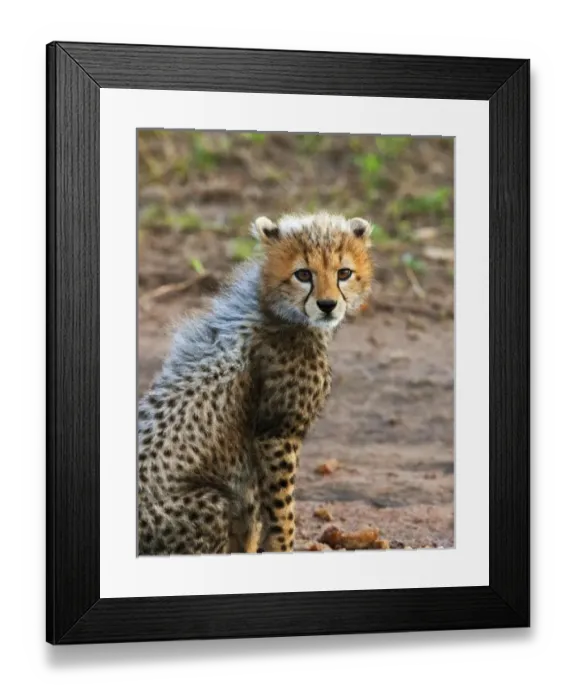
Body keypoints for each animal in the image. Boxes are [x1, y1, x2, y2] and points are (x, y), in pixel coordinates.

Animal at [138, 212, 373, 555]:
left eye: (344, 273)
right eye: (303, 274)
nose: (328, 305)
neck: (278, 311)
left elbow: (258, 515)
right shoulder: (277, 433)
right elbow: (281, 505)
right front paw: (283, 545)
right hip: (212, 502)